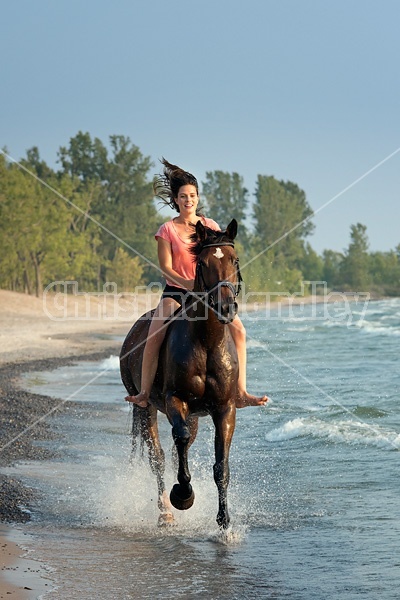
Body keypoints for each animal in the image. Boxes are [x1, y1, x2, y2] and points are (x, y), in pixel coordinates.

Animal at [120, 218, 242, 528]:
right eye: (203, 263)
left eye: (234, 260)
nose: (225, 307)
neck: (207, 341)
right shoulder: (176, 400)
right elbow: (180, 440)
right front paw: (183, 495)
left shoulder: (224, 408)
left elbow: (221, 464)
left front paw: (224, 523)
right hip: (146, 406)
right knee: (159, 456)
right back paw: (165, 511)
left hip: (195, 415)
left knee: (176, 452)